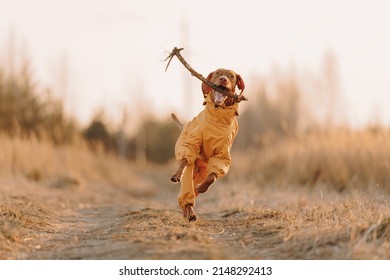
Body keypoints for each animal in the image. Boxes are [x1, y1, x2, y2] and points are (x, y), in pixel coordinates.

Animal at [170, 68, 244, 221]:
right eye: (218, 73)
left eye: (231, 76)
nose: (223, 79)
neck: (218, 118)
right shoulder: (192, 143)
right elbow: (185, 159)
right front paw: (177, 174)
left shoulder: (222, 155)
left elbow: (212, 177)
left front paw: (200, 188)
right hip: (190, 159)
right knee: (187, 174)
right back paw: (188, 209)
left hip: (201, 171)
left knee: (194, 185)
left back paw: (189, 210)